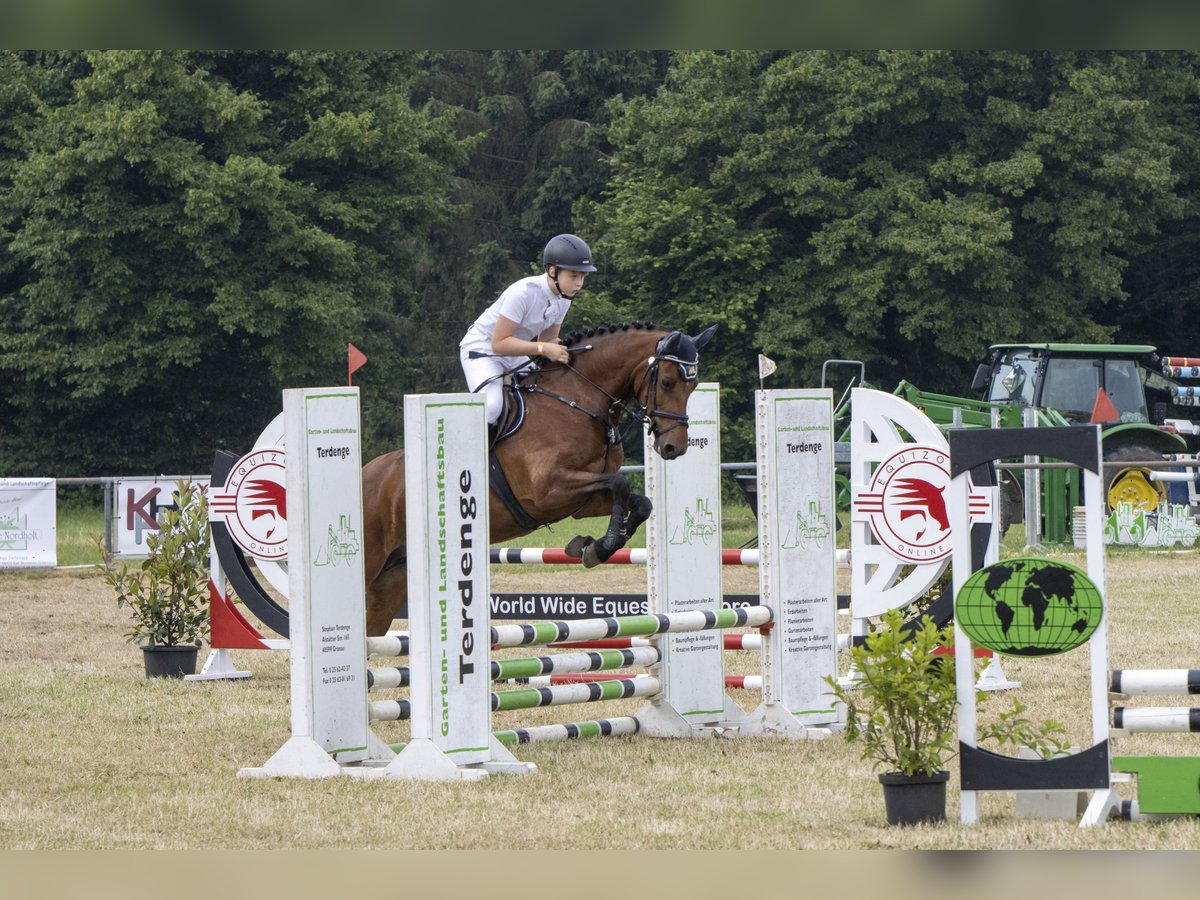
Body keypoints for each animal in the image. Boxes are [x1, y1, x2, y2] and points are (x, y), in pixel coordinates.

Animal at [360, 321, 715, 638]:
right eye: (667, 381)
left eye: (694, 385)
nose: (674, 447)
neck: (578, 401)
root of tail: (365, 474)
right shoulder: (549, 491)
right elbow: (621, 484)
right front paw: (598, 546)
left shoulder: (583, 501)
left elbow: (639, 502)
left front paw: (594, 547)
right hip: (372, 561)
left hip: (393, 578)